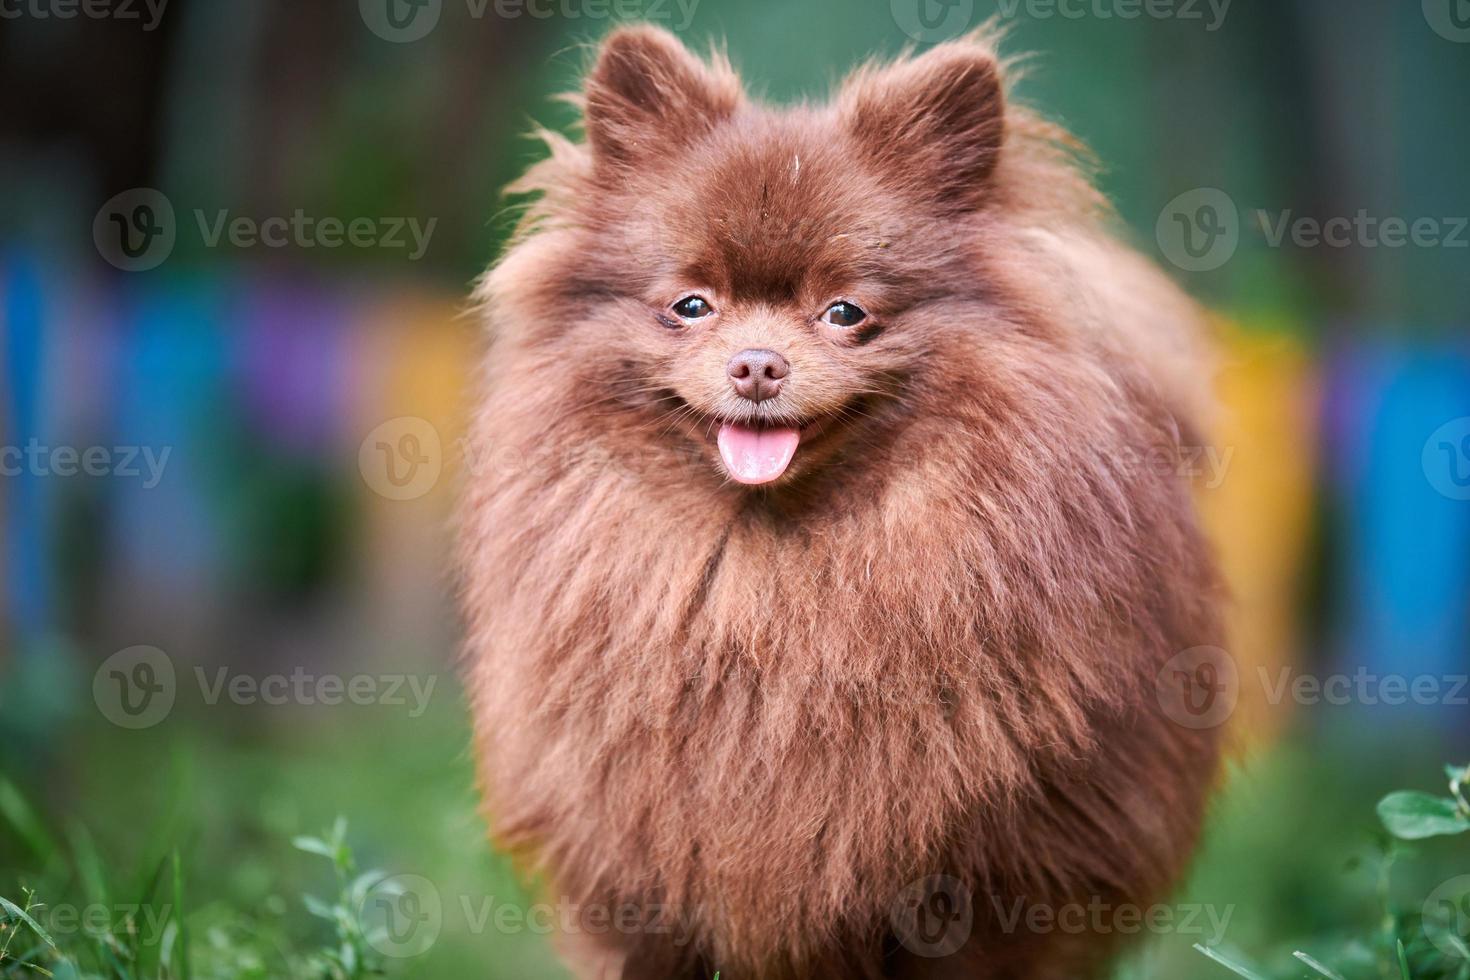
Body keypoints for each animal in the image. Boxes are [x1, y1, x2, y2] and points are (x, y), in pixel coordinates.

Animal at [461, 22, 1228, 980]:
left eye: (845, 312)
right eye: (691, 305)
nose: (757, 362)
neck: (773, 586)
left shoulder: (992, 889)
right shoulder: (639, 873)